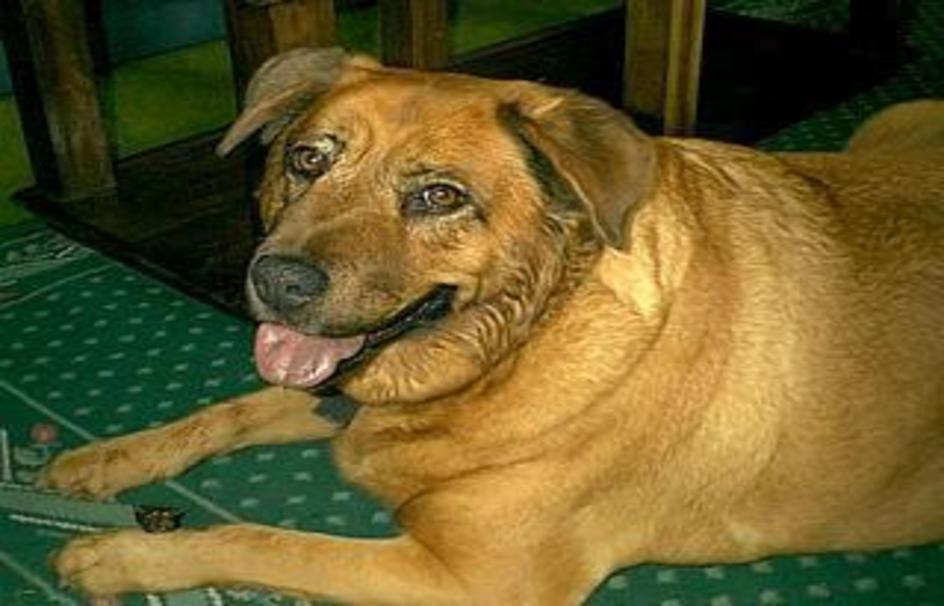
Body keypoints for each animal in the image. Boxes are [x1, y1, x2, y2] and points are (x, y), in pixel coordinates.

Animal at [44, 48, 944, 604]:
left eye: (439, 196)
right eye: (308, 159)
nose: (276, 280)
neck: (522, 337)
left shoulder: (472, 579)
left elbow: (264, 541)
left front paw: (123, 556)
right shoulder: (343, 394)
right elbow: (223, 412)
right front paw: (104, 461)